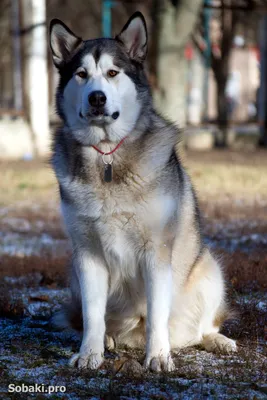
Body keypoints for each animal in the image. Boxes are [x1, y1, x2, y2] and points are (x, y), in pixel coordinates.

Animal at [49, 10, 238, 372]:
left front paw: (158, 356)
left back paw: (216, 340)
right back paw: (109, 340)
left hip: (210, 269)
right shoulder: (87, 253)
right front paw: (90, 353)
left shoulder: (157, 251)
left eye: (113, 72)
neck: (107, 156)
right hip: (73, 273)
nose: (97, 97)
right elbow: (92, 314)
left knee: (201, 326)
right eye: (81, 74)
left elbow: (156, 312)